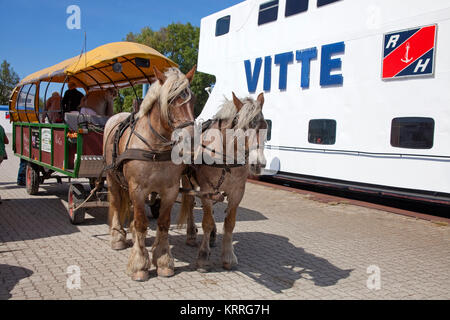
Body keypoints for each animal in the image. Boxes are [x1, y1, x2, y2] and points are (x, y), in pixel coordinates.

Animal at [103, 66, 195, 282]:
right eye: (170, 100)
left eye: (192, 99)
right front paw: (139, 264)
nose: (189, 139)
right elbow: (142, 224)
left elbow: (163, 223)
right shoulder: (138, 189)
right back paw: (118, 236)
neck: (155, 148)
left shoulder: (170, 190)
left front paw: (162, 260)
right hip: (112, 179)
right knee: (116, 203)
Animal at [178, 92, 268, 272]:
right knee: (190, 203)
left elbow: (229, 223)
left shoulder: (237, 192)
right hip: (188, 181)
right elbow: (206, 222)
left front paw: (228, 256)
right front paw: (203, 257)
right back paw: (191, 234)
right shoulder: (206, 188)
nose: (258, 164)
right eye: (243, 127)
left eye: (265, 125)